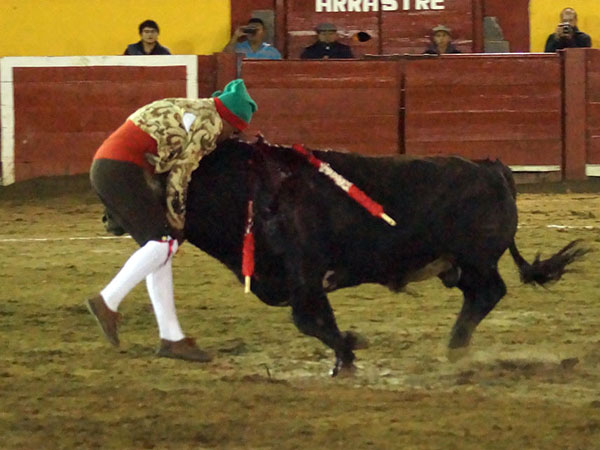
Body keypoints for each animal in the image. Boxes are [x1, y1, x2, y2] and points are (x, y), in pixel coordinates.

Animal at [178, 137, 585, 376]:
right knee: (480, 296)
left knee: (489, 293)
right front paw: (345, 356)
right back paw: (456, 348)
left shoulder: (304, 275)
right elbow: (317, 321)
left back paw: (455, 349)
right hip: (460, 266)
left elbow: (309, 321)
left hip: (475, 260)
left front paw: (349, 350)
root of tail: (492, 168)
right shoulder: (303, 282)